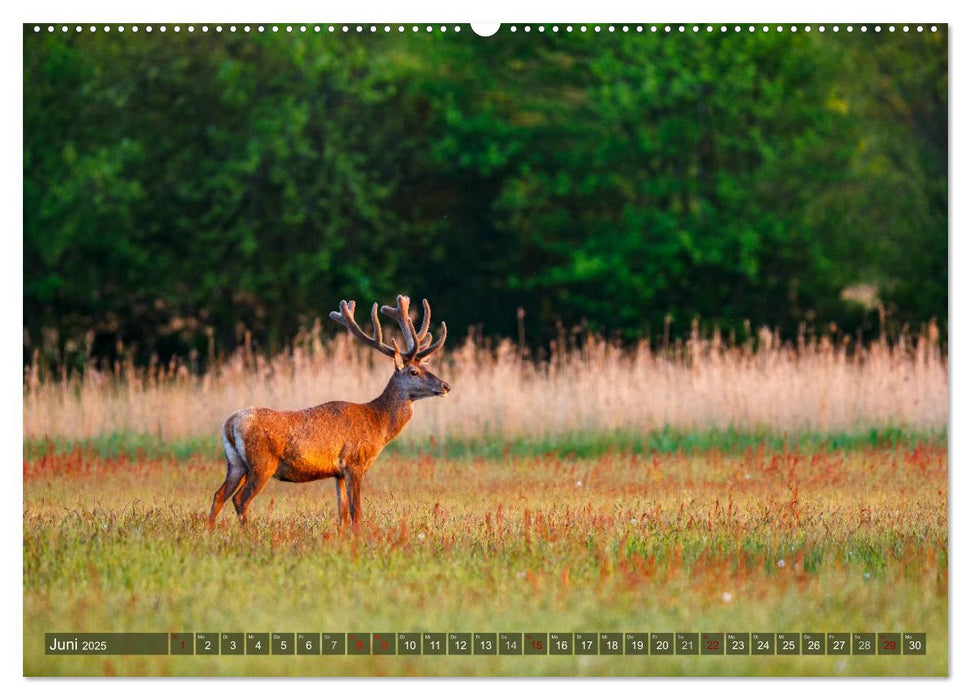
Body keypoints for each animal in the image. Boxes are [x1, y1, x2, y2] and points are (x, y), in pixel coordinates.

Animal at [209, 296, 452, 532]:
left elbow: (342, 512)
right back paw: (249, 534)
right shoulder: (354, 462)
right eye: (414, 371)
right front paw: (358, 539)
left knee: (219, 495)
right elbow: (356, 512)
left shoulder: (338, 472)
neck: (377, 424)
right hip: (262, 462)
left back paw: (209, 532)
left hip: (236, 462)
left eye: (428, 368)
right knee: (240, 499)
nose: (446, 386)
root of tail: (230, 422)